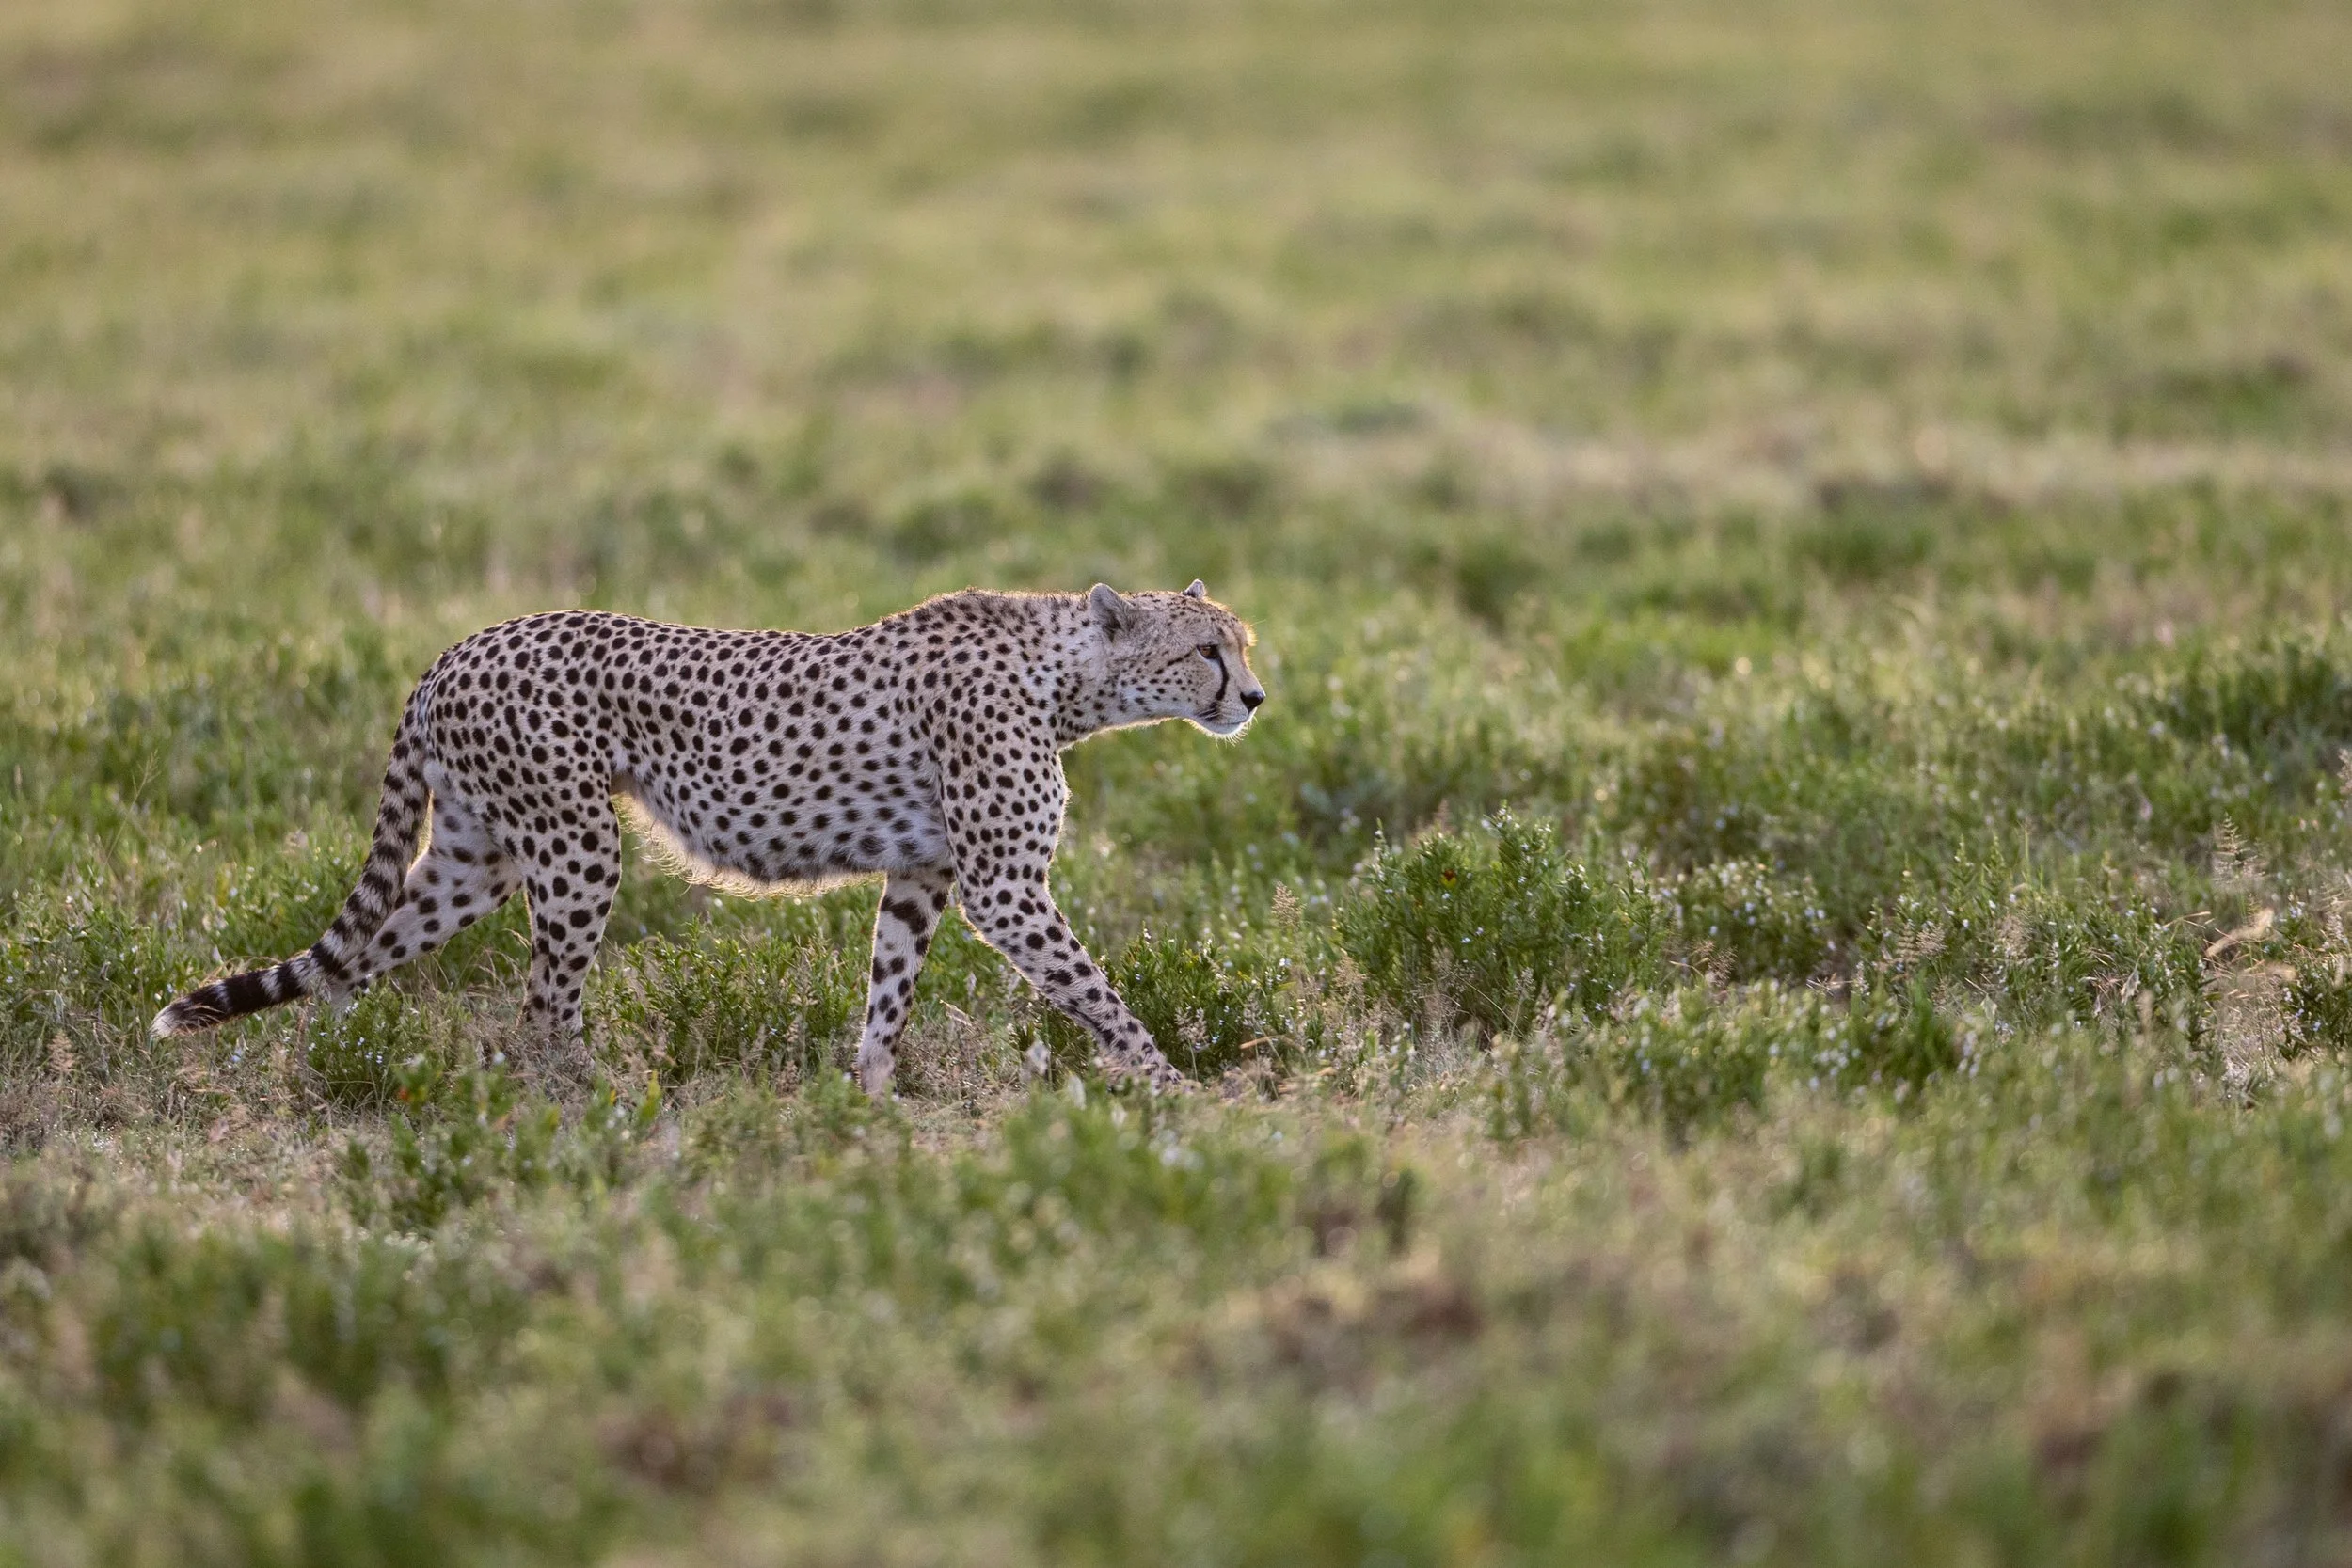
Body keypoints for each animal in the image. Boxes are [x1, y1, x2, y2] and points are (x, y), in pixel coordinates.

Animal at [152, 581, 1266, 1094]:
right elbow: (1097, 992)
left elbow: (888, 990)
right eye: (1206, 651)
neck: (1063, 676)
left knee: (356, 960)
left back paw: (340, 1067)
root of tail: (460, 646)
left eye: (1241, 646)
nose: (1254, 697)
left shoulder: (923, 873)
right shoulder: (1004, 885)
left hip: (476, 856)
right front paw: (1173, 1087)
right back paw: (596, 1104)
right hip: (575, 846)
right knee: (541, 1005)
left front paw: (867, 1100)